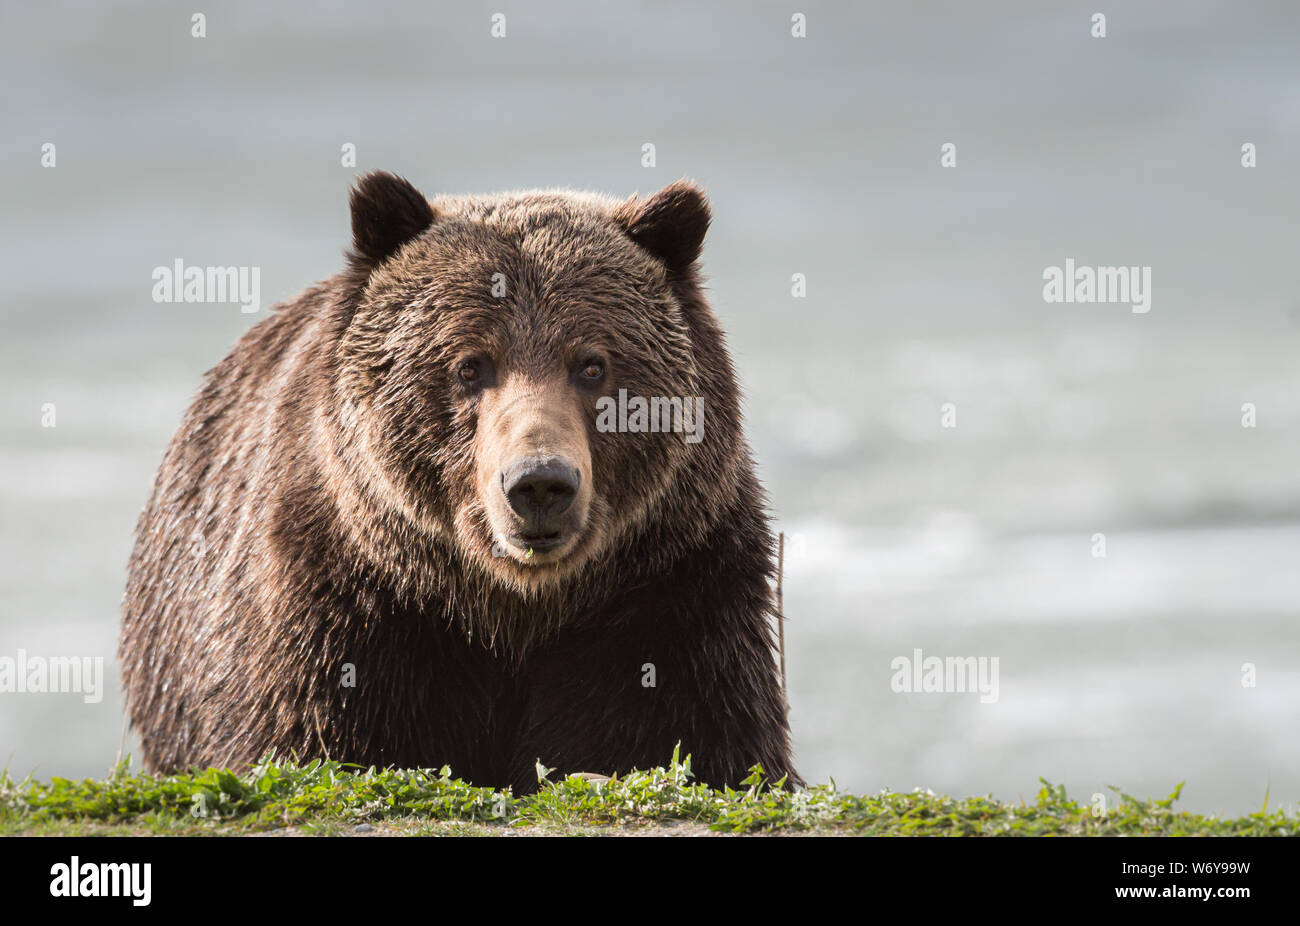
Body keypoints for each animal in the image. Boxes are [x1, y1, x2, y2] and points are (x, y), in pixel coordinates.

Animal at [120, 171, 799, 793]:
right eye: (470, 364)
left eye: (592, 364)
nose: (539, 483)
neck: (512, 606)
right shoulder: (348, 601)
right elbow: (312, 734)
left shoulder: (671, 593)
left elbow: (690, 737)